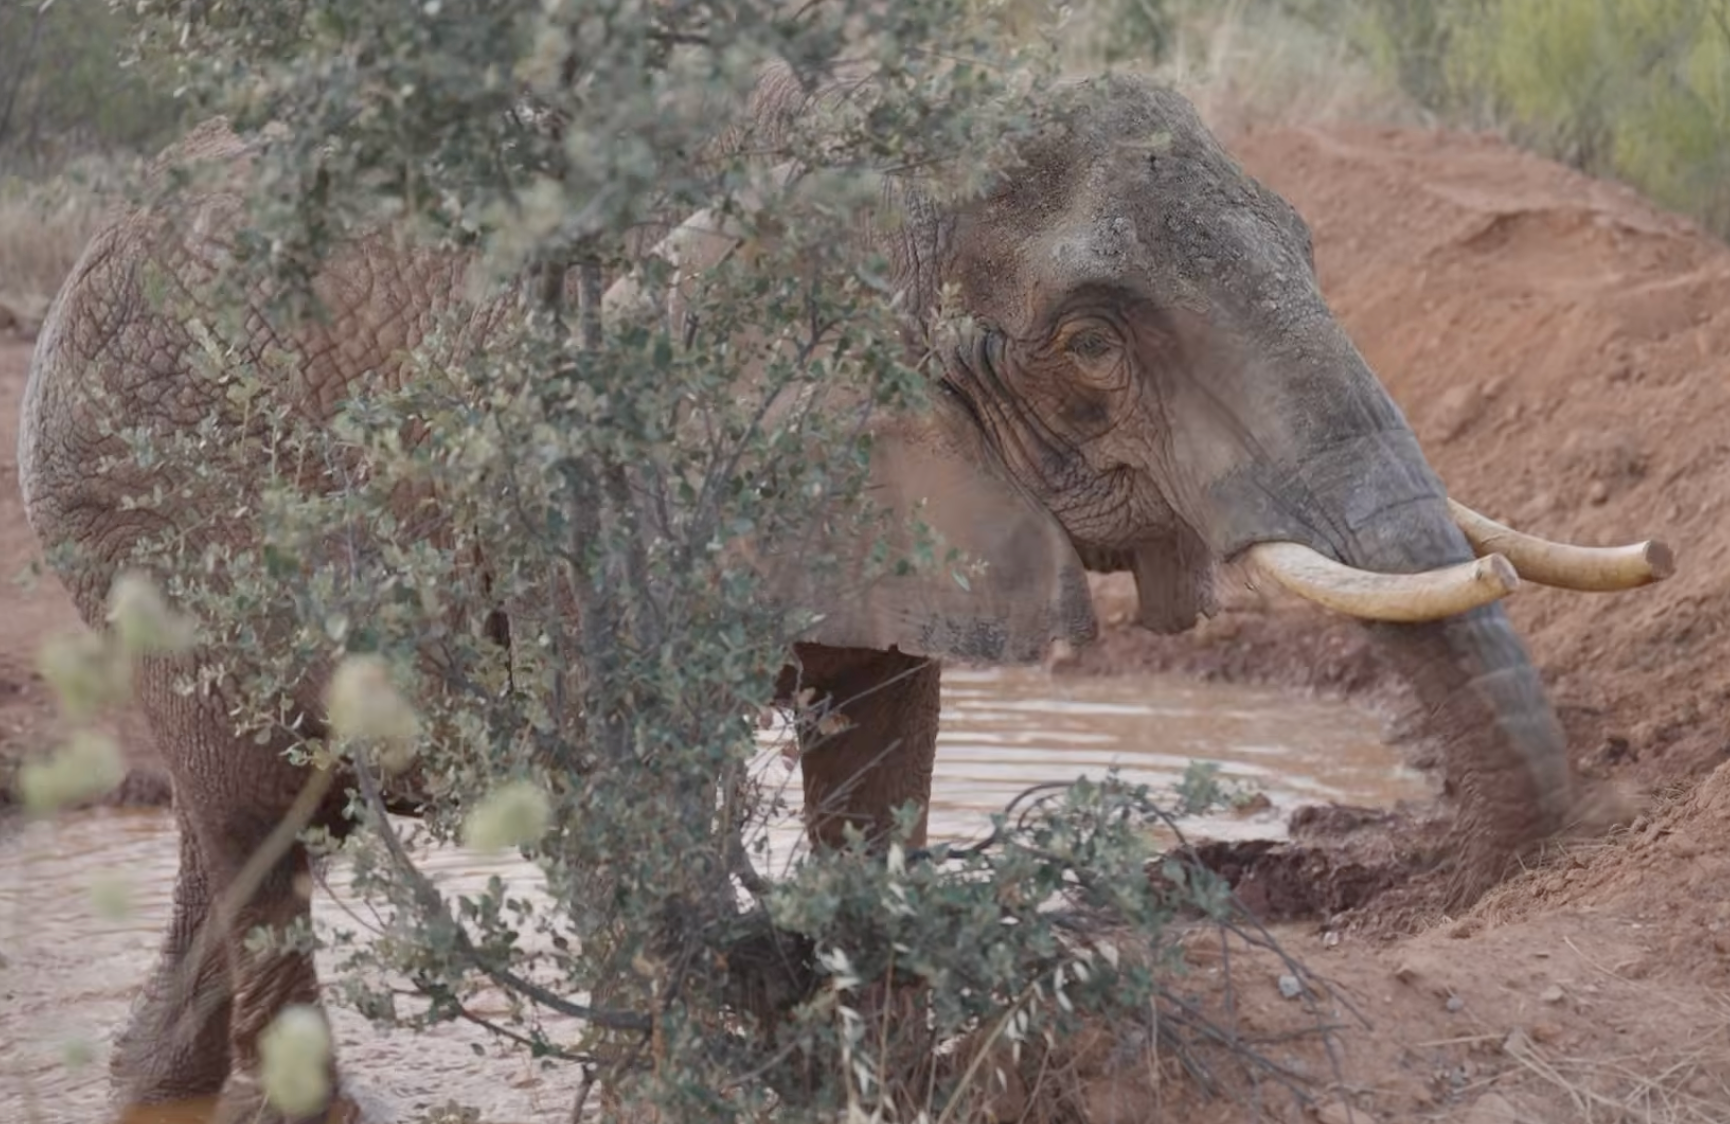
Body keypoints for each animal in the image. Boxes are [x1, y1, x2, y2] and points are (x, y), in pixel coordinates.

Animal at [18, 64, 1670, 1123]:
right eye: (1090, 341)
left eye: (1313, 250)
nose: (1362, 890)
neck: (860, 153)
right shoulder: (608, 448)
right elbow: (633, 774)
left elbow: (879, 735)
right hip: (154, 512)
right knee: (261, 815)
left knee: (262, 823)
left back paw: (148, 1084)